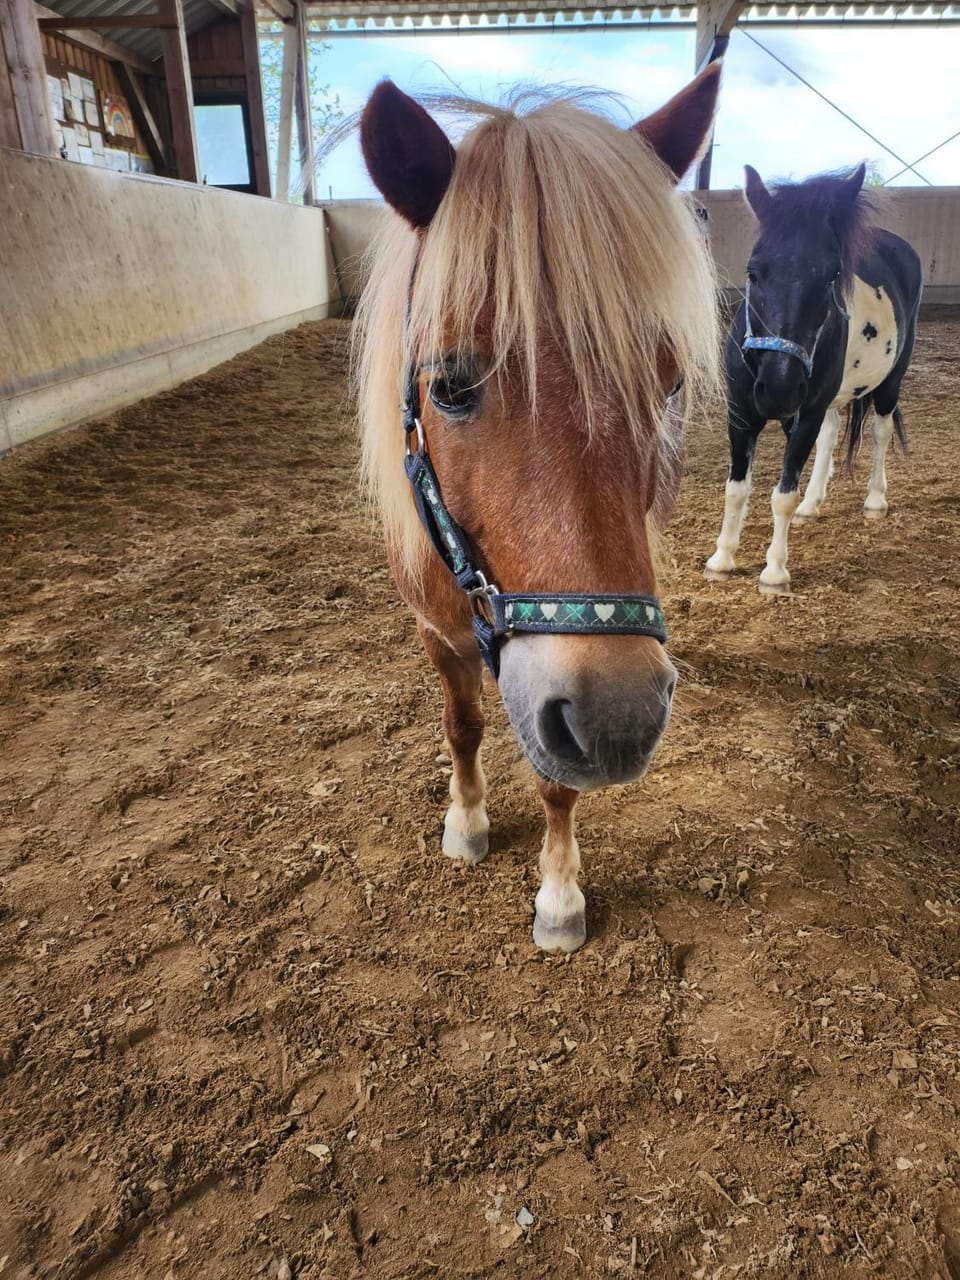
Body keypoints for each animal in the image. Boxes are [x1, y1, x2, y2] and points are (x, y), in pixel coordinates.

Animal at [354, 67, 722, 952]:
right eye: (450, 385)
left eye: (666, 382)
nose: (620, 717)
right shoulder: (436, 633)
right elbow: (462, 726)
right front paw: (466, 824)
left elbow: (557, 783)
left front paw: (558, 895)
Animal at [704, 165, 923, 592]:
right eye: (753, 272)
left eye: (831, 276)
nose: (779, 390)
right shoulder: (741, 415)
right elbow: (735, 489)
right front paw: (722, 558)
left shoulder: (804, 415)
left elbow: (781, 494)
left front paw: (774, 571)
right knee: (831, 436)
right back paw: (812, 504)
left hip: (889, 382)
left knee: (880, 432)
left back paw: (875, 500)